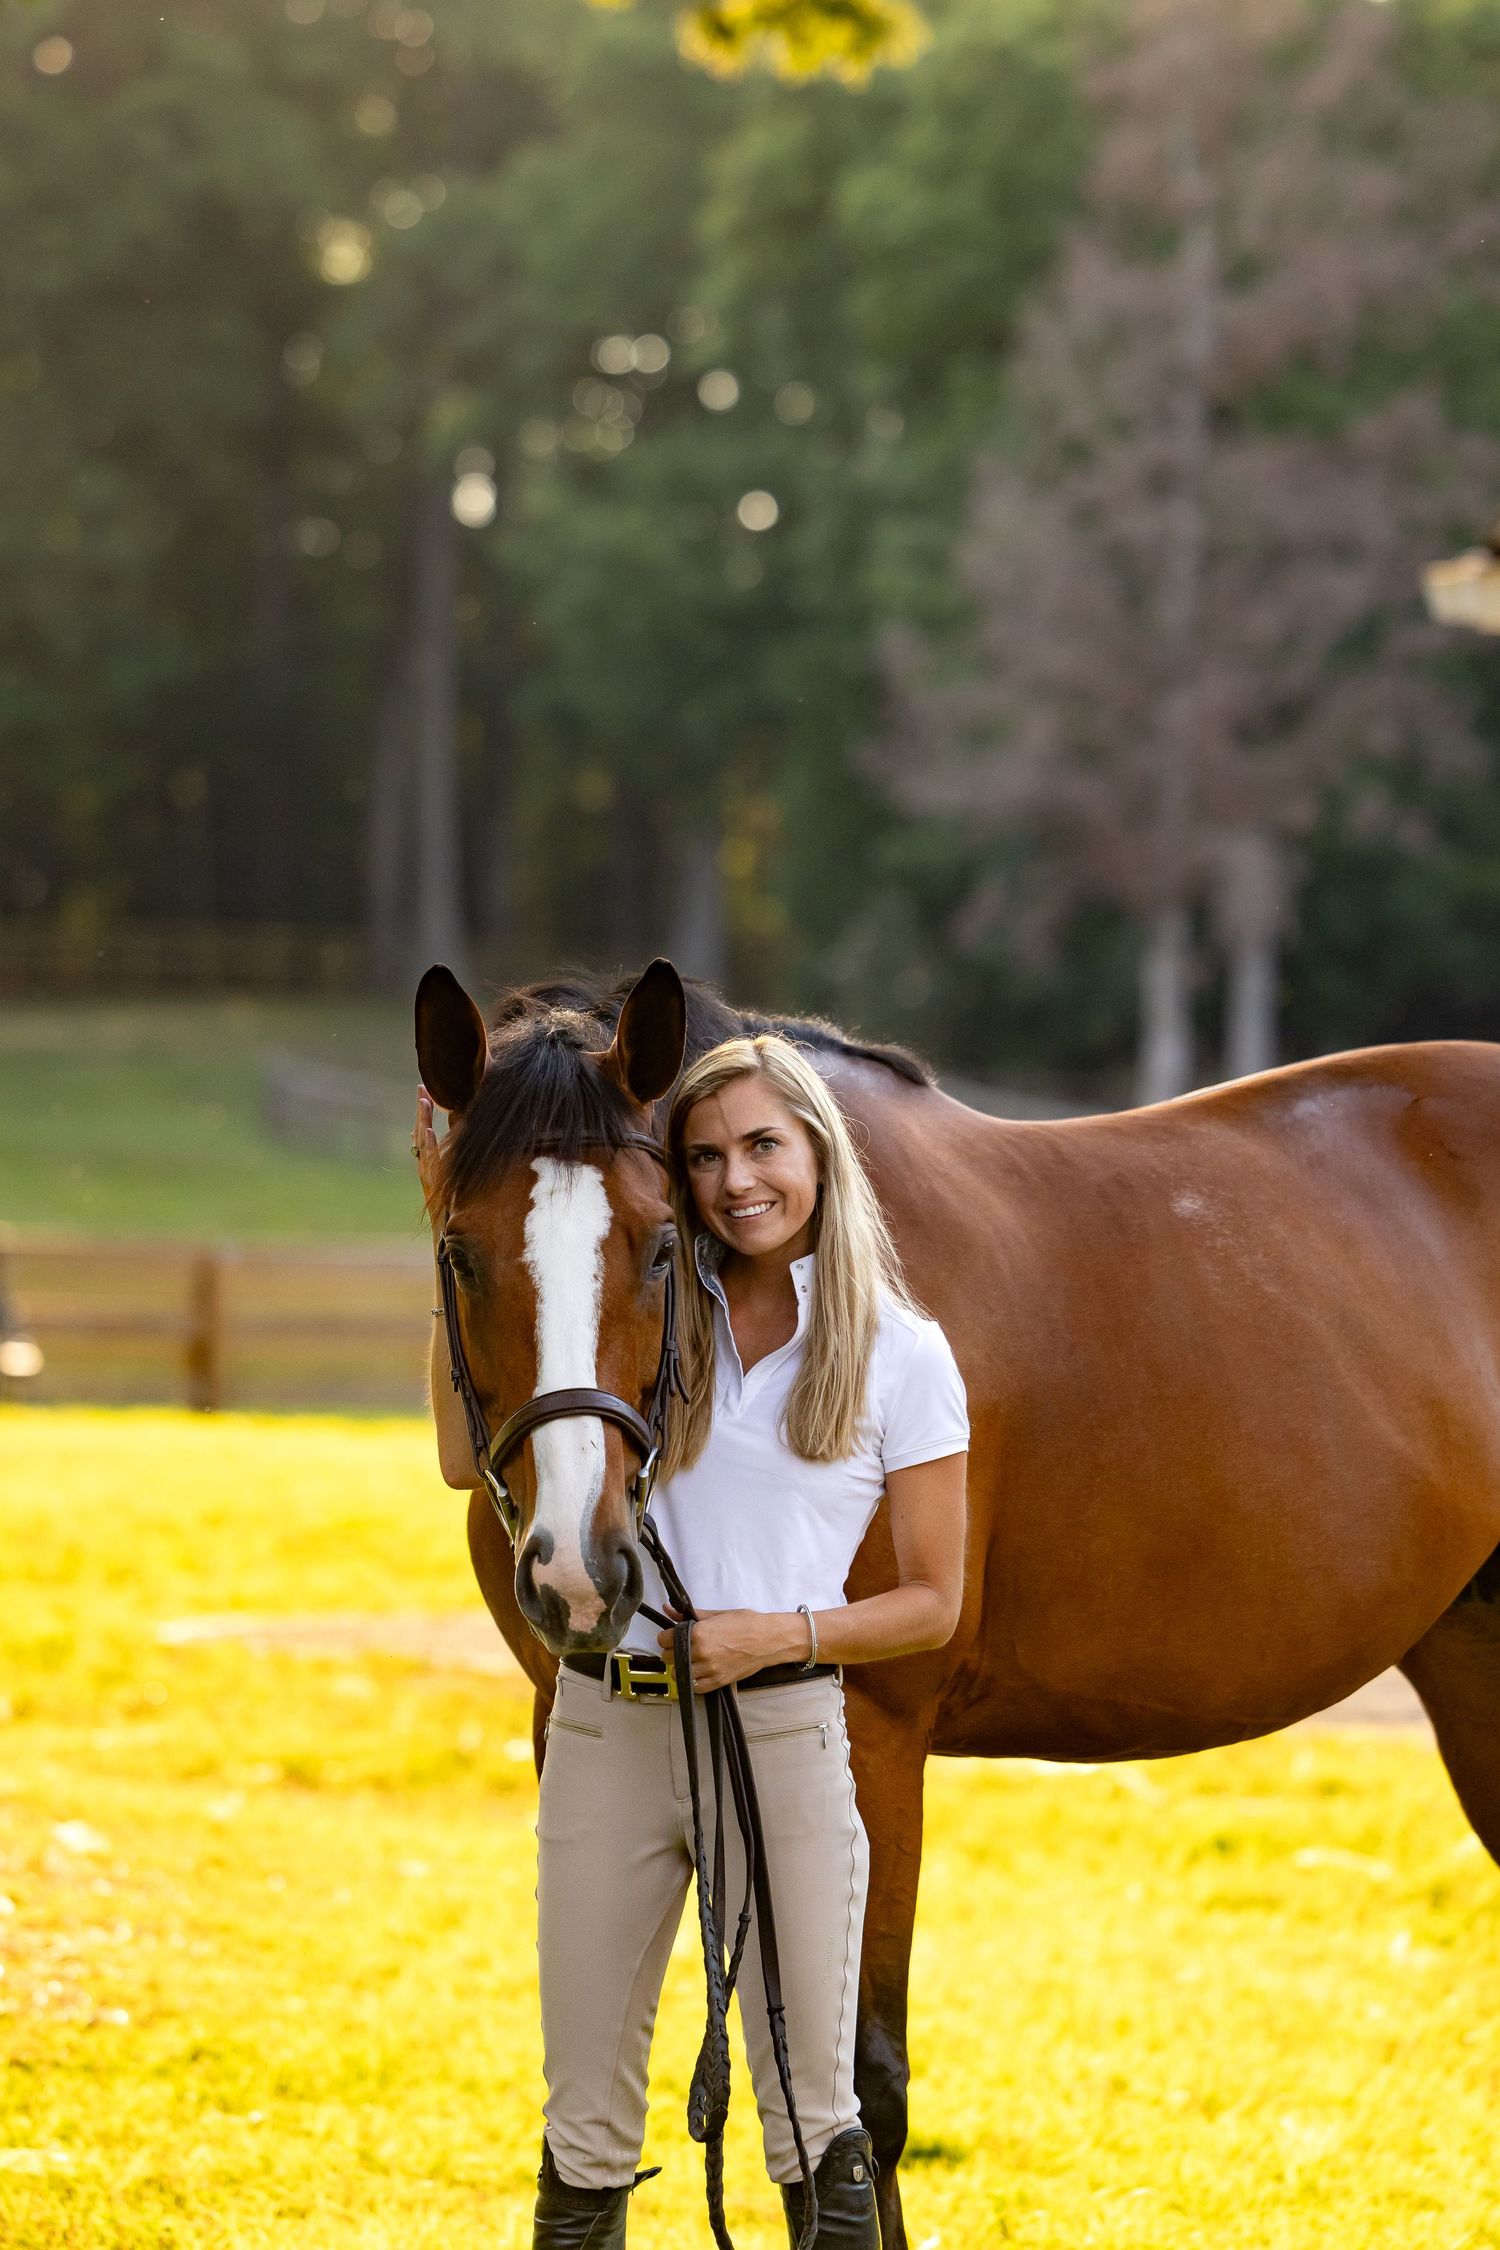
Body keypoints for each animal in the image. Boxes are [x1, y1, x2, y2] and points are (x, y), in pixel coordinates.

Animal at [415, 956, 1500, 2250]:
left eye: (661, 1243)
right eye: (462, 1252)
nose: (580, 1568)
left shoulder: (871, 1736)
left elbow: (850, 2094)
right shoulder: (565, 1718)